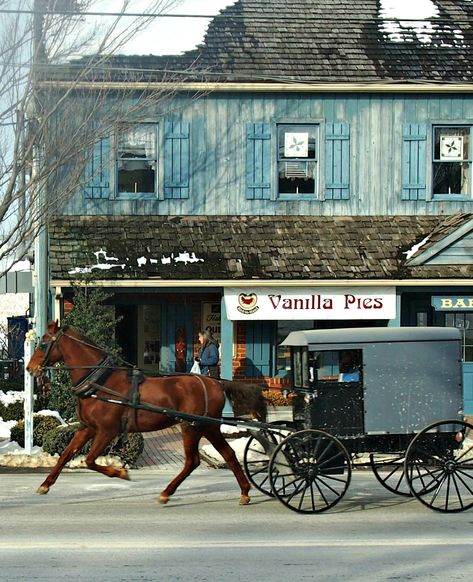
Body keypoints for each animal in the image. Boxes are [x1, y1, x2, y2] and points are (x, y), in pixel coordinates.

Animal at [26, 322, 266, 508]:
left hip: (191, 427)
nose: (30, 368)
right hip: (208, 427)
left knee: (192, 461)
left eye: (44, 343)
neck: (99, 382)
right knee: (228, 454)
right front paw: (45, 484)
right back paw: (244, 491)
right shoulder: (88, 428)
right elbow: (66, 454)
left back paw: (166, 493)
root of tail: (216, 383)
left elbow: (89, 460)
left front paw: (121, 473)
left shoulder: (107, 431)